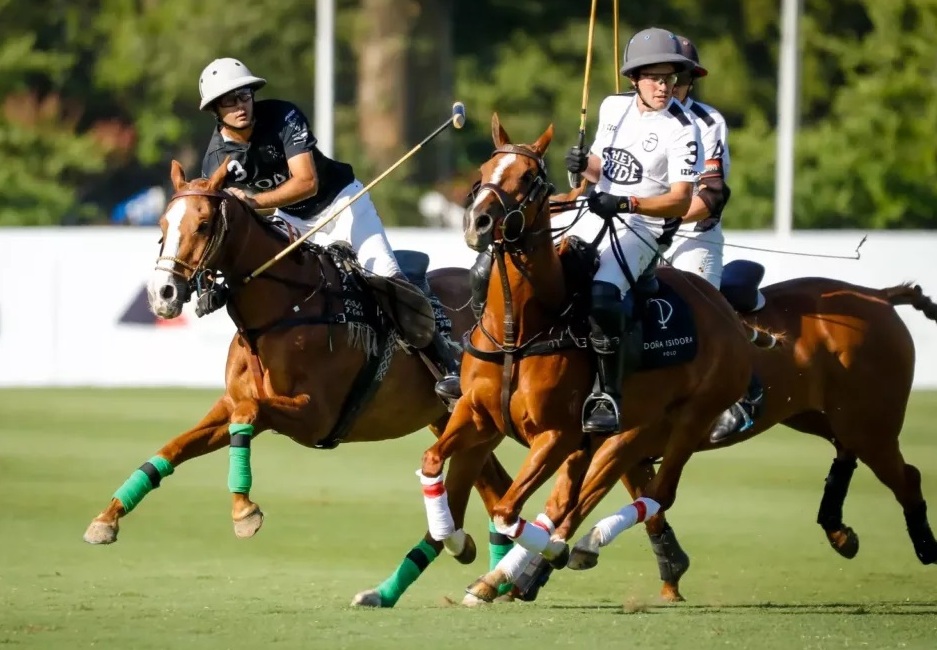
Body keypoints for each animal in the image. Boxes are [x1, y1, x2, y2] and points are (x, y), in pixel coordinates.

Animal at [81, 159, 519, 608]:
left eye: (203, 225)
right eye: (163, 224)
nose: (163, 294)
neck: (280, 311)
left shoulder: (314, 416)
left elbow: (247, 416)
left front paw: (244, 513)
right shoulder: (231, 402)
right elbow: (175, 446)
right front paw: (107, 519)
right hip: (449, 421)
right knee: (495, 488)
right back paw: (483, 567)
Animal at [409, 113, 779, 605]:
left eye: (528, 178)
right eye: (486, 168)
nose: (479, 223)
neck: (518, 330)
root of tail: (727, 313)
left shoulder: (557, 435)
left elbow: (508, 510)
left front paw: (539, 551)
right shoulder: (477, 413)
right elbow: (434, 461)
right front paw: (452, 537)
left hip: (692, 417)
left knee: (656, 493)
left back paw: (579, 545)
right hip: (633, 432)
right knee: (582, 500)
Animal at [509, 275, 937, 603]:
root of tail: (878, 295)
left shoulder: (628, 440)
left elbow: (579, 506)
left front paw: (524, 574)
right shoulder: (617, 448)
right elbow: (608, 503)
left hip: (870, 423)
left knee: (906, 475)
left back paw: (924, 546)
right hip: (817, 416)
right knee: (850, 453)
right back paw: (839, 531)